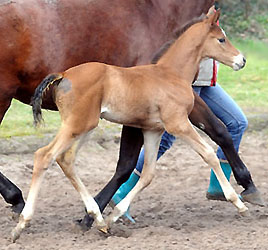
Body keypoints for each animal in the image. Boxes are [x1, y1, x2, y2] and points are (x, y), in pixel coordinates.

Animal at [12, 10, 247, 241]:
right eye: (221, 39)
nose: (242, 60)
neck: (171, 74)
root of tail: (64, 75)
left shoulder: (153, 130)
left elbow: (148, 173)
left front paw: (114, 215)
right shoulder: (178, 124)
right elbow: (208, 153)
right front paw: (237, 202)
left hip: (84, 127)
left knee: (65, 159)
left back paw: (98, 219)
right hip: (77, 125)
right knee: (44, 156)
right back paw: (22, 224)